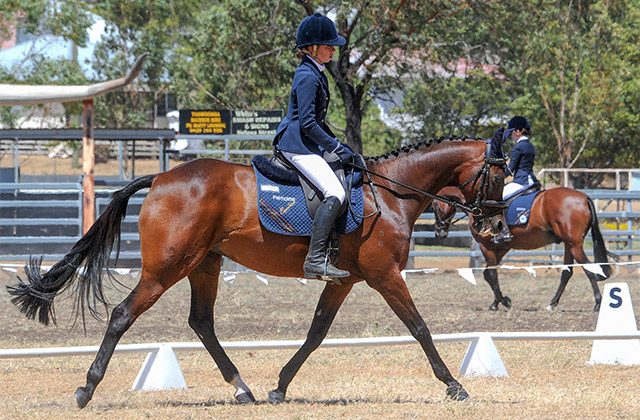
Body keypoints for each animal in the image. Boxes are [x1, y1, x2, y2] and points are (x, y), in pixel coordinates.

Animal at [5, 137, 504, 406]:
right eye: (498, 176)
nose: (497, 227)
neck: (391, 193)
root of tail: (161, 178)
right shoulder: (385, 277)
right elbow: (419, 328)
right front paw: (454, 385)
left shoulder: (346, 281)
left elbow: (316, 333)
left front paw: (280, 387)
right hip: (167, 267)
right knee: (122, 315)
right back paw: (86, 389)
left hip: (204, 264)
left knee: (202, 322)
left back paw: (241, 388)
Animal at [432, 186, 612, 312]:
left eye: (434, 207)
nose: (439, 231)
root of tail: (583, 197)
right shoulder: (501, 248)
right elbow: (488, 274)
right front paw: (497, 302)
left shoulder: (486, 246)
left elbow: (491, 274)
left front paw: (503, 302)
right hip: (569, 244)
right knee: (567, 273)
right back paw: (552, 303)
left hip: (574, 245)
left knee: (588, 269)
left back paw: (597, 303)